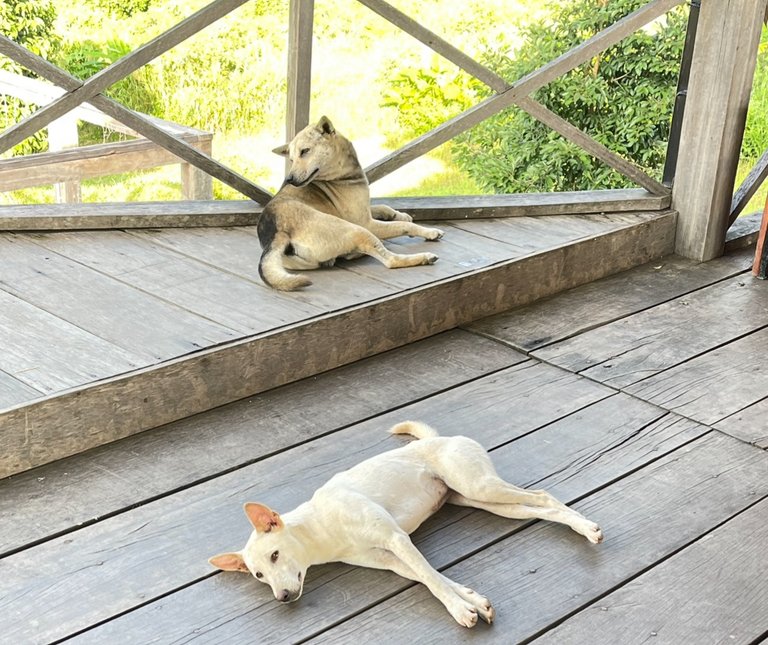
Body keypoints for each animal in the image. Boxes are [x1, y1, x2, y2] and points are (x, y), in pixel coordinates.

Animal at [208, 420, 600, 628]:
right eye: (259, 576)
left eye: (275, 555)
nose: (283, 598)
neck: (323, 530)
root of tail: (440, 438)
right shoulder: (389, 559)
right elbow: (429, 577)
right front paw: (472, 600)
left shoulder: (397, 539)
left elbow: (430, 578)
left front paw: (460, 610)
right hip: (483, 501)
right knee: (537, 507)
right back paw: (579, 526)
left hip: (480, 485)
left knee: (543, 496)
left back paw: (586, 526)